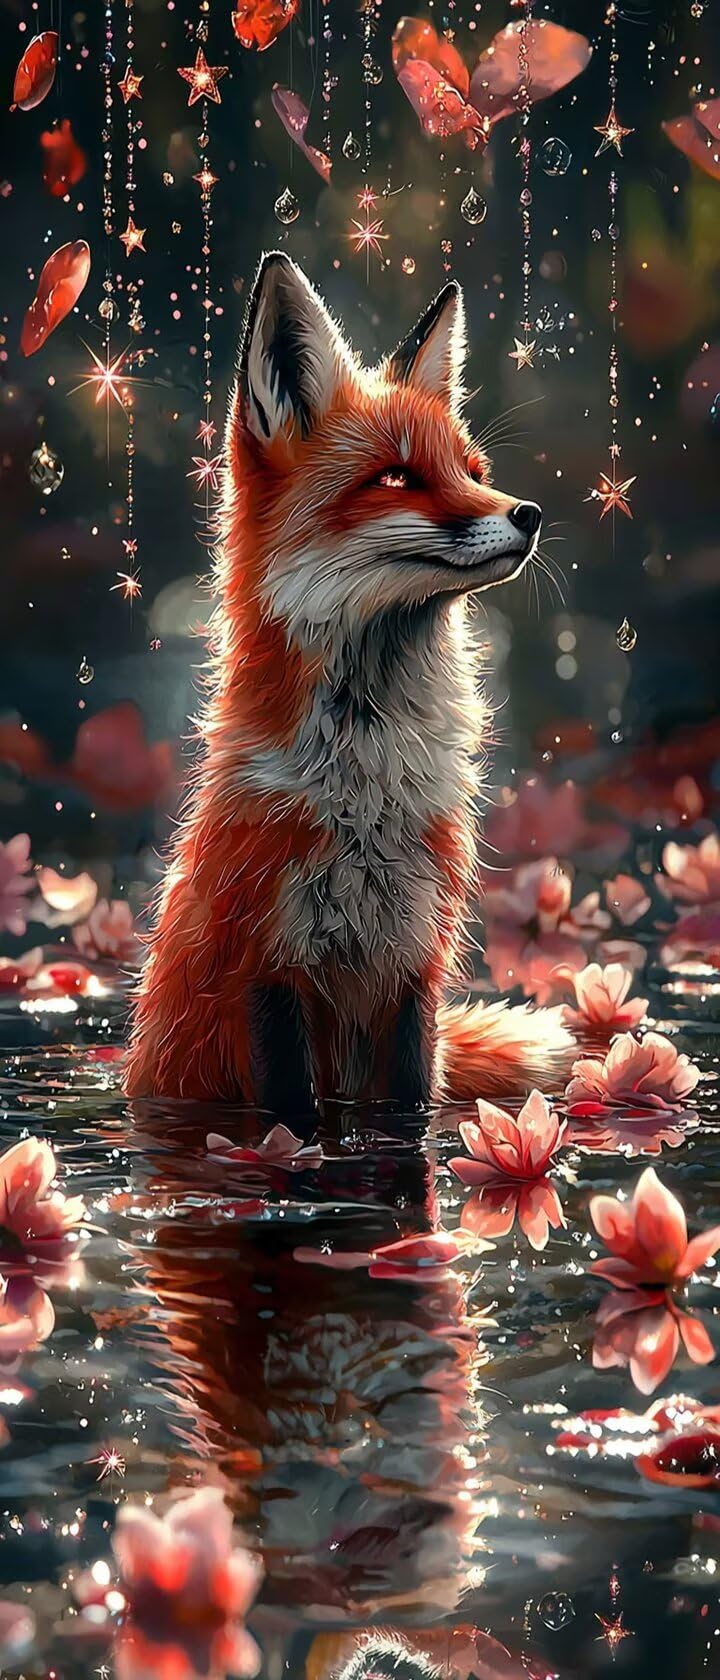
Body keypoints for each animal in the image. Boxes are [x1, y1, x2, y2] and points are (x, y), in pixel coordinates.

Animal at [125, 252, 574, 1107]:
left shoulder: (413, 971)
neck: (366, 782)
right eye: (396, 478)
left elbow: (411, 1104)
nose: (530, 513)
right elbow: (290, 1113)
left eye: (473, 471)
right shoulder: (268, 971)